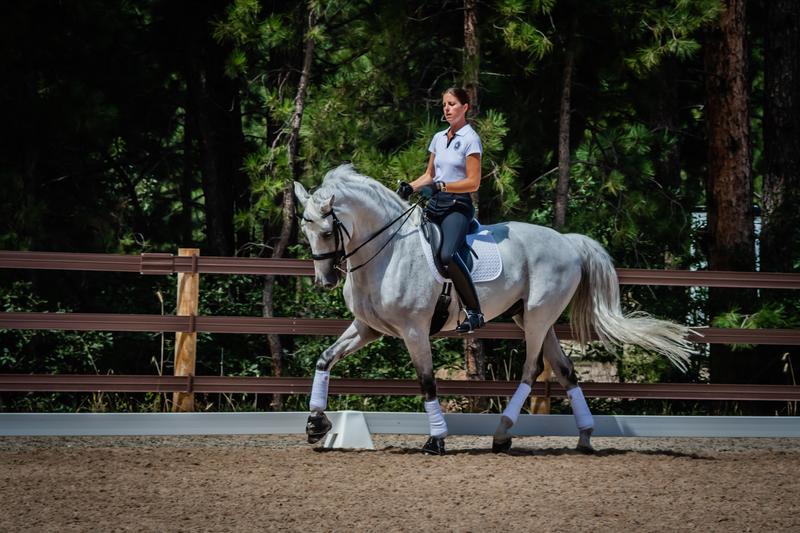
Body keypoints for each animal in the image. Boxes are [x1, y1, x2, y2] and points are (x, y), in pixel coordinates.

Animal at [294, 163, 692, 454]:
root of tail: (567, 242)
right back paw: (584, 437)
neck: (389, 251)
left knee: (532, 370)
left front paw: (436, 440)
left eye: (327, 231)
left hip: (537, 317)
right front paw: (316, 424)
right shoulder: (368, 327)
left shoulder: (414, 331)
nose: (325, 281)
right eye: (305, 231)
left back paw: (502, 433)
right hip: (532, 316)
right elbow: (325, 358)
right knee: (565, 370)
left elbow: (427, 383)